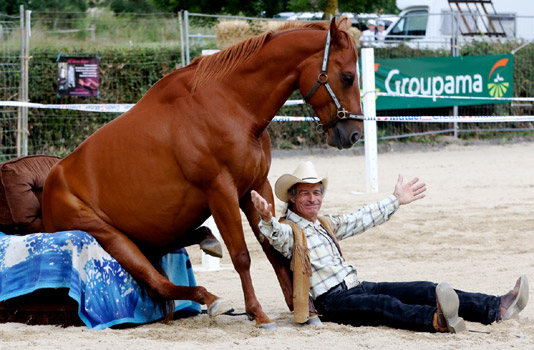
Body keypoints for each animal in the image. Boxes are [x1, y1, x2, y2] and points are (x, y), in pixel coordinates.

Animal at [42, 17, 364, 328]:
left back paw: (207, 242)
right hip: (113, 240)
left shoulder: (255, 187)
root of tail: (50, 183)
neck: (229, 105)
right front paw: (259, 314)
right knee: (159, 283)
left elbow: (272, 246)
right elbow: (242, 255)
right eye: (347, 77)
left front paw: (301, 309)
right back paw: (214, 299)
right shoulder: (221, 191)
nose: (354, 134)